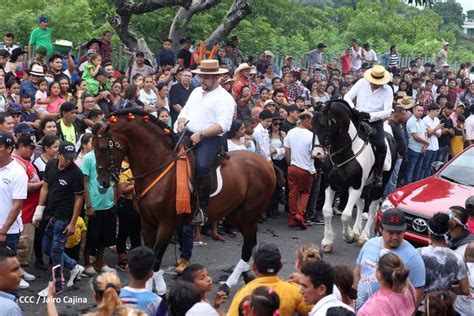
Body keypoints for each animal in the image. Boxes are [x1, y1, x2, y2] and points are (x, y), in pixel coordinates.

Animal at [92, 109, 276, 292]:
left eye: (102, 148)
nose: (102, 182)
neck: (157, 166)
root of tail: (265, 163)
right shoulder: (147, 222)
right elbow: (148, 259)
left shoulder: (167, 224)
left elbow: (155, 260)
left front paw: (160, 293)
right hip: (236, 213)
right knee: (251, 242)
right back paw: (247, 276)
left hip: (249, 213)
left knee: (248, 245)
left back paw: (229, 283)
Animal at [312, 99, 396, 252]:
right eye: (311, 123)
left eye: (325, 124)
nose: (317, 154)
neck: (346, 152)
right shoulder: (330, 185)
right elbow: (327, 211)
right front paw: (327, 241)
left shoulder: (356, 186)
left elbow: (346, 215)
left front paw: (349, 236)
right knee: (362, 204)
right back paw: (357, 231)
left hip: (379, 185)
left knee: (373, 209)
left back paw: (363, 236)